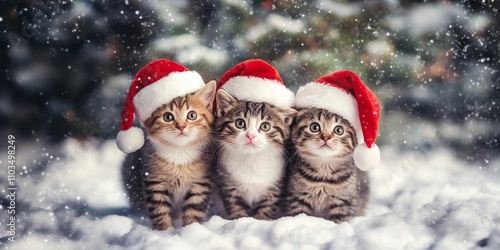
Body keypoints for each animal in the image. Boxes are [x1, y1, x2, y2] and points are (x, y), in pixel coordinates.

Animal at [122, 81, 216, 229]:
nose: (181, 126)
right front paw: (164, 231)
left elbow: (194, 209)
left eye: (192, 115)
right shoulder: (155, 181)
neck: (180, 152)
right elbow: (159, 210)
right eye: (168, 117)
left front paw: (191, 229)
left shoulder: (201, 182)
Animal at [214, 90, 296, 221]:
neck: (251, 160)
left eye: (265, 126)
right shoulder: (229, 188)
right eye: (240, 123)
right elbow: (237, 211)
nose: (250, 136)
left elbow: (265, 212)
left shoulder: (273, 190)